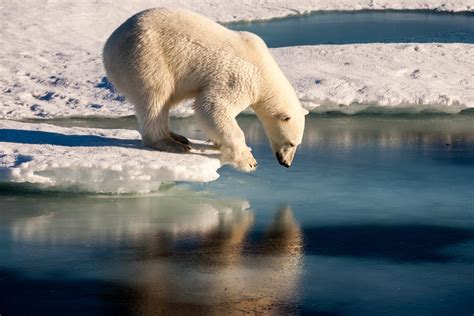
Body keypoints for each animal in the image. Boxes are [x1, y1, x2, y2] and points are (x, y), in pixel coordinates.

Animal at [103, 8, 308, 170]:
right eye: (291, 143)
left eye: (298, 143)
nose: (286, 163)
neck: (264, 68)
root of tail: (109, 46)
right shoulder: (239, 77)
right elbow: (211, 106)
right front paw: (249, 161)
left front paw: (217, 142)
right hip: (146, 57)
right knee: (156, 96)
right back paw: (171, 143)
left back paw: (178, 137)